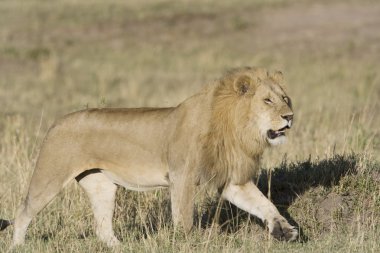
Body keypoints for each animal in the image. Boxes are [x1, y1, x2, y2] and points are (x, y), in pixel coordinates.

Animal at [1, 66, 298, 246]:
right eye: (267, 101)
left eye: (285, 98)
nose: (290, 117)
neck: (236, 128)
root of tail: (57, 122)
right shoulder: (182, 175)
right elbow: (184, 216)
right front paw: (187, 242)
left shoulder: (231, 180)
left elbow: (264, 204)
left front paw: (284, 229)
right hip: (50, 176)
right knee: (23, 211)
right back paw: (19, 245)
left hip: (101, 185)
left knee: (102, 227)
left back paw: (120, 247)